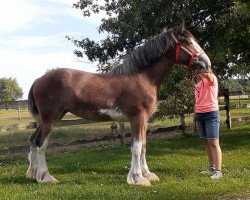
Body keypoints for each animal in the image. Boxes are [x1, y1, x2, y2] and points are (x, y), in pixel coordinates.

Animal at [26, 23, 211, 186]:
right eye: (187, 42)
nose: (206, 63)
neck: (142, 77)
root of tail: (38, 80)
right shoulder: (137, 118)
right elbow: (136, 147)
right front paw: (138, 178)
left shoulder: (144, 120)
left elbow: (144, 146)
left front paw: (147, 174)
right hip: (51, 119)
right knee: (41, 143)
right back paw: (46, 177)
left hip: (47, 119)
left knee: (33, 140)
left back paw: (33, 174)